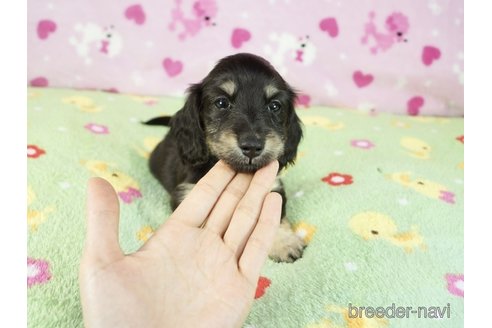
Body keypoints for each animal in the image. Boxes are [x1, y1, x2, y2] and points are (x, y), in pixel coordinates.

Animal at [146, 52, 306, 262]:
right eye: (221, 103)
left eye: (274, 106)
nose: (252, 147)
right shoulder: (187, 192)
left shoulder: (274, 188)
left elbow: (276, 214)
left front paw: (284, 243)